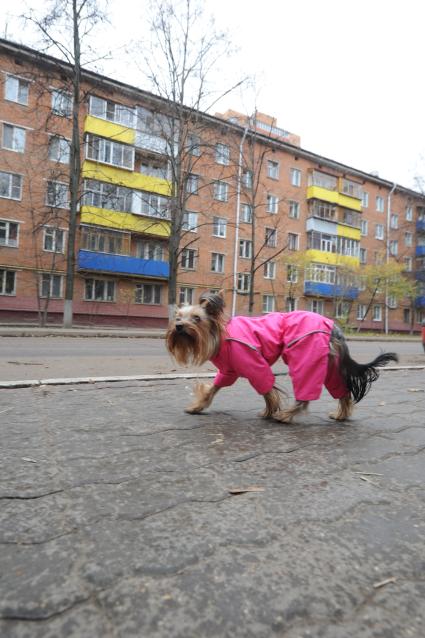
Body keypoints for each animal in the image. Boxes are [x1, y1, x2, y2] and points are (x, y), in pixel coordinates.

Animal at [166, 292, 398, 422]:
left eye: (197, 318)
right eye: (178, 317)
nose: (178, 327)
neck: (220, 335)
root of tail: (334, 327)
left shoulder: (252, 362)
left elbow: (267, 388)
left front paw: (270, 411)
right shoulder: (228, 371)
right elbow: (213, 389)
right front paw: (197, 407)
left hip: (305, 353)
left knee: (305, 392)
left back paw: (285, 416)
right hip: (330, 364)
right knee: (342, 391)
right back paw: (341, 415)